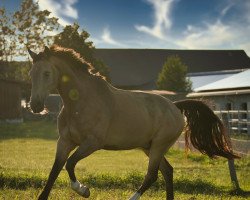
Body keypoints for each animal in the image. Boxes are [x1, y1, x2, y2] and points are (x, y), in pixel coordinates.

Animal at [27, 45, 238, 200]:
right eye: (31, 73)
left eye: (46, 73)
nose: (35, 106)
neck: (81, 102)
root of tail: (175, 107)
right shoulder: (65, 141)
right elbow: (55, 170)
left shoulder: (92, 143)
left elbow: (70, 164)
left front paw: (84, 190)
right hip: (149, 147)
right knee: (167, 172)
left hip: (158, 146)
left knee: (152, 175)